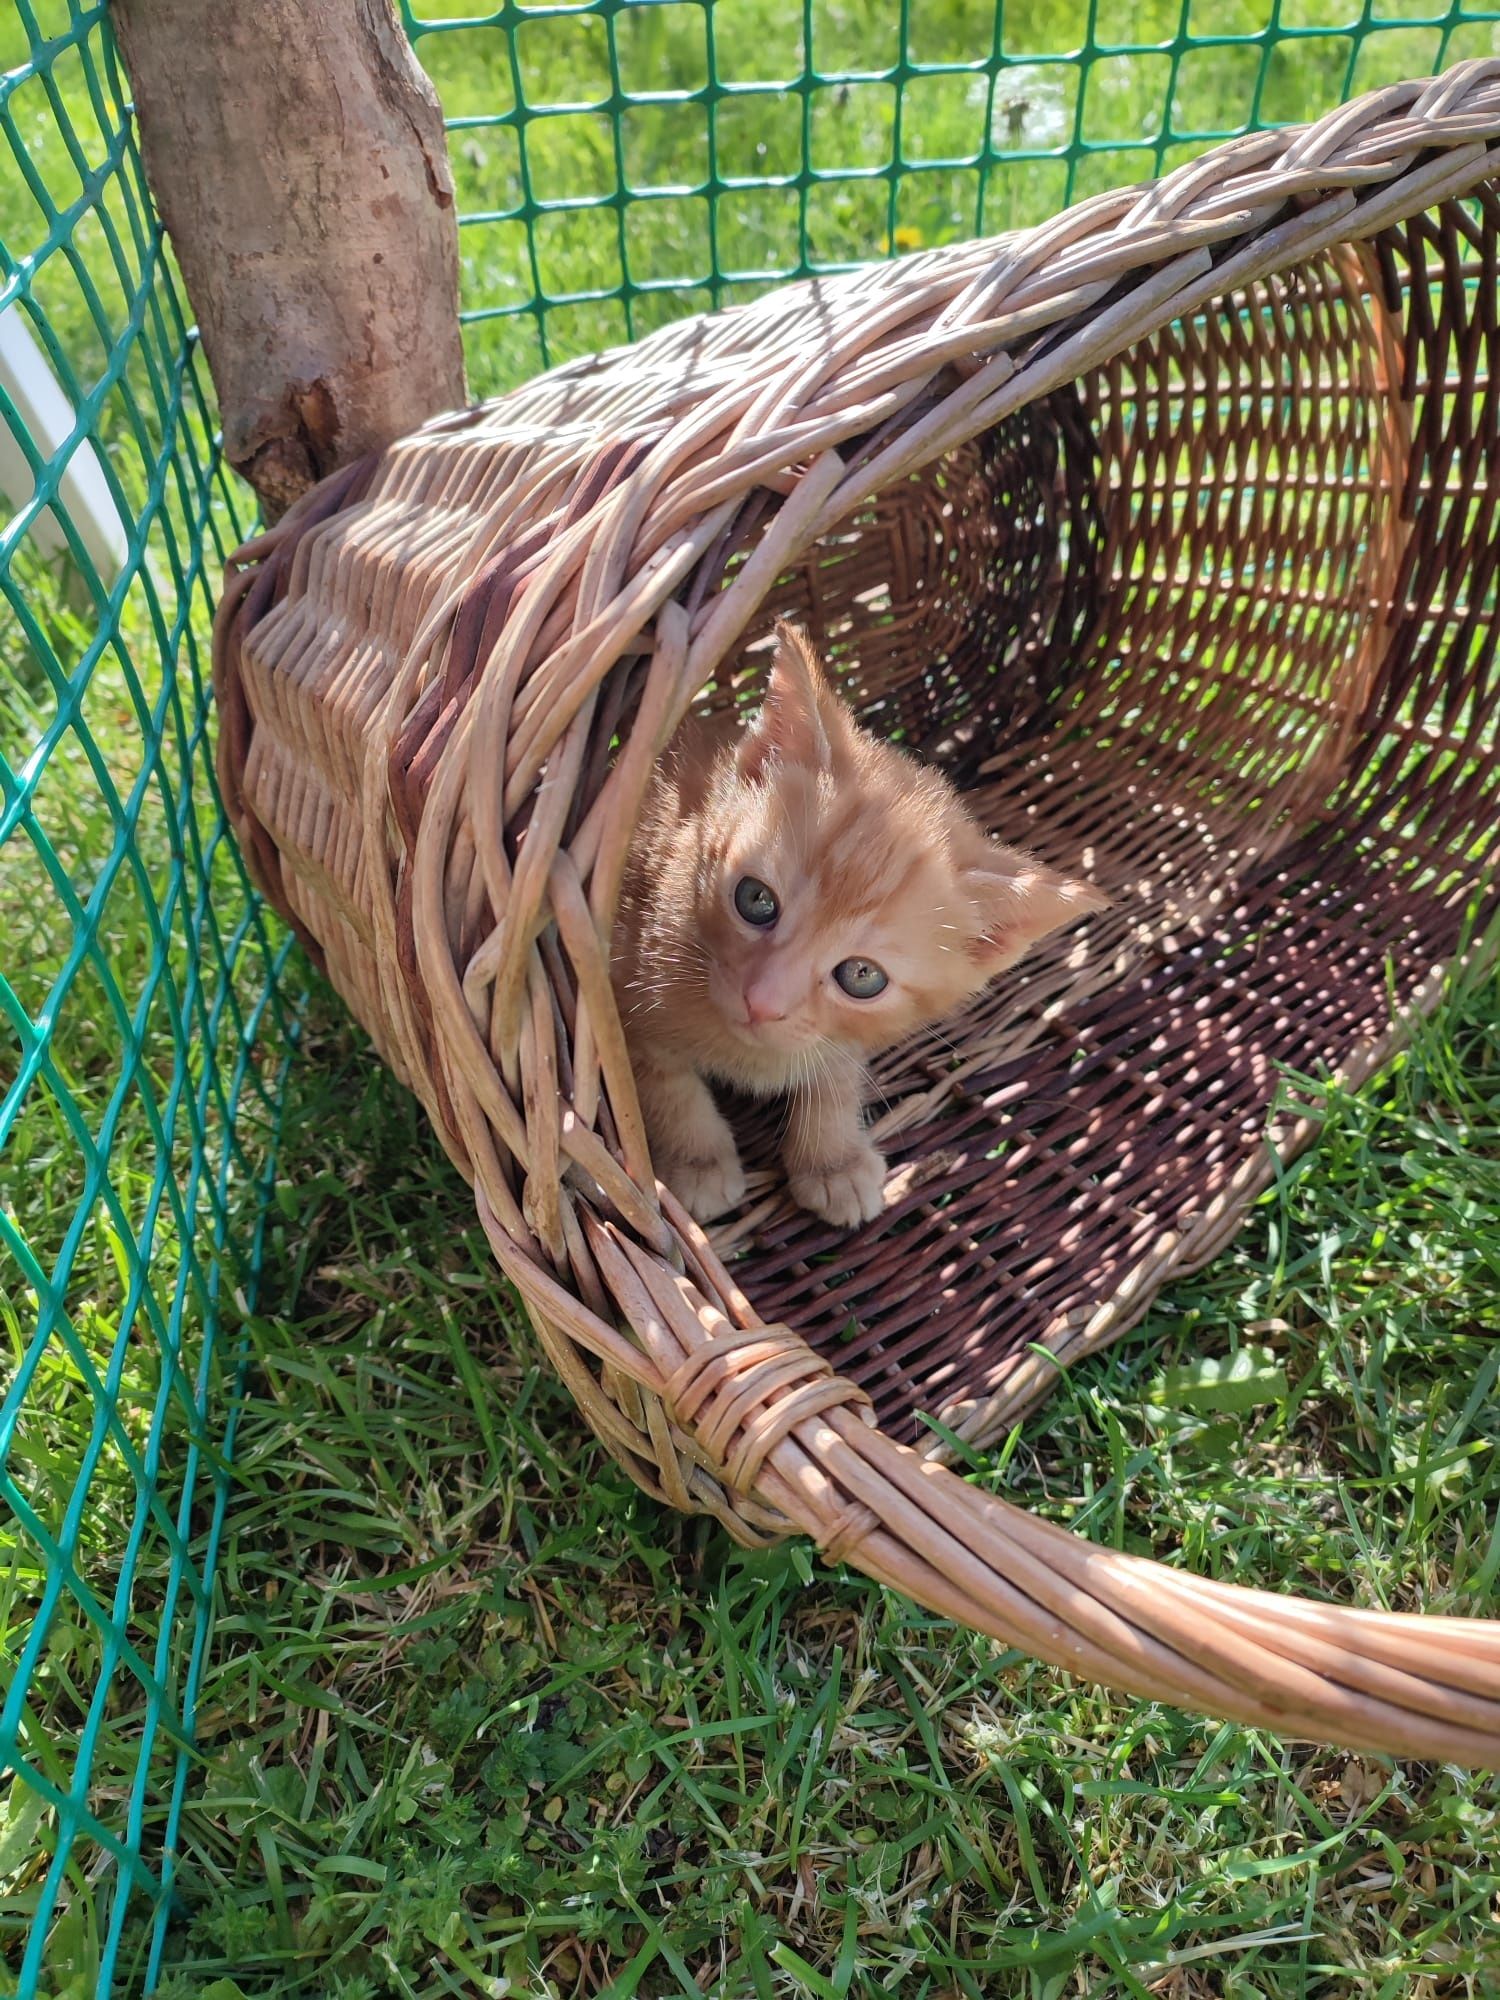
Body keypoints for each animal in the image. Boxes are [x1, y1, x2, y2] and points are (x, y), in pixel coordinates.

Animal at [612, 616, 1120, 1224]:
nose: (761, 1002)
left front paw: (833, 1158)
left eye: (861, 976)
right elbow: (663, 1083)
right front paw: (697, 1160)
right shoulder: (620, 984)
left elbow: (836, 1071)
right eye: (755, 900)